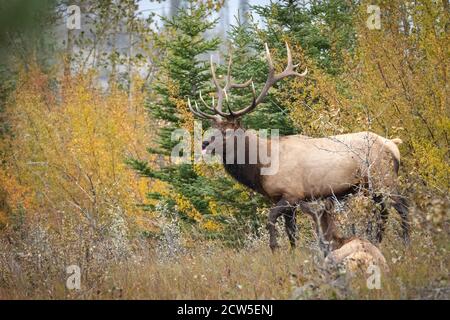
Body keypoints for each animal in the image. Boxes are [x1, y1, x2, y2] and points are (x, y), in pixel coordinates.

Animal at [185, 42, 410, 251]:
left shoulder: (291, 194)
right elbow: (291, 233)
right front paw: (292, 254)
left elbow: (271, 220)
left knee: (402, 206)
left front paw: (275, 248)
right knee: (384, 211)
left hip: (384, 178)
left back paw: (405, 241)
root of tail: (394, 146)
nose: (204, 143)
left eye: (226, 132)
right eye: (212, 127)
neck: (261, 167)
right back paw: (378, 241)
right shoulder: (284, 200)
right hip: (373, 186)